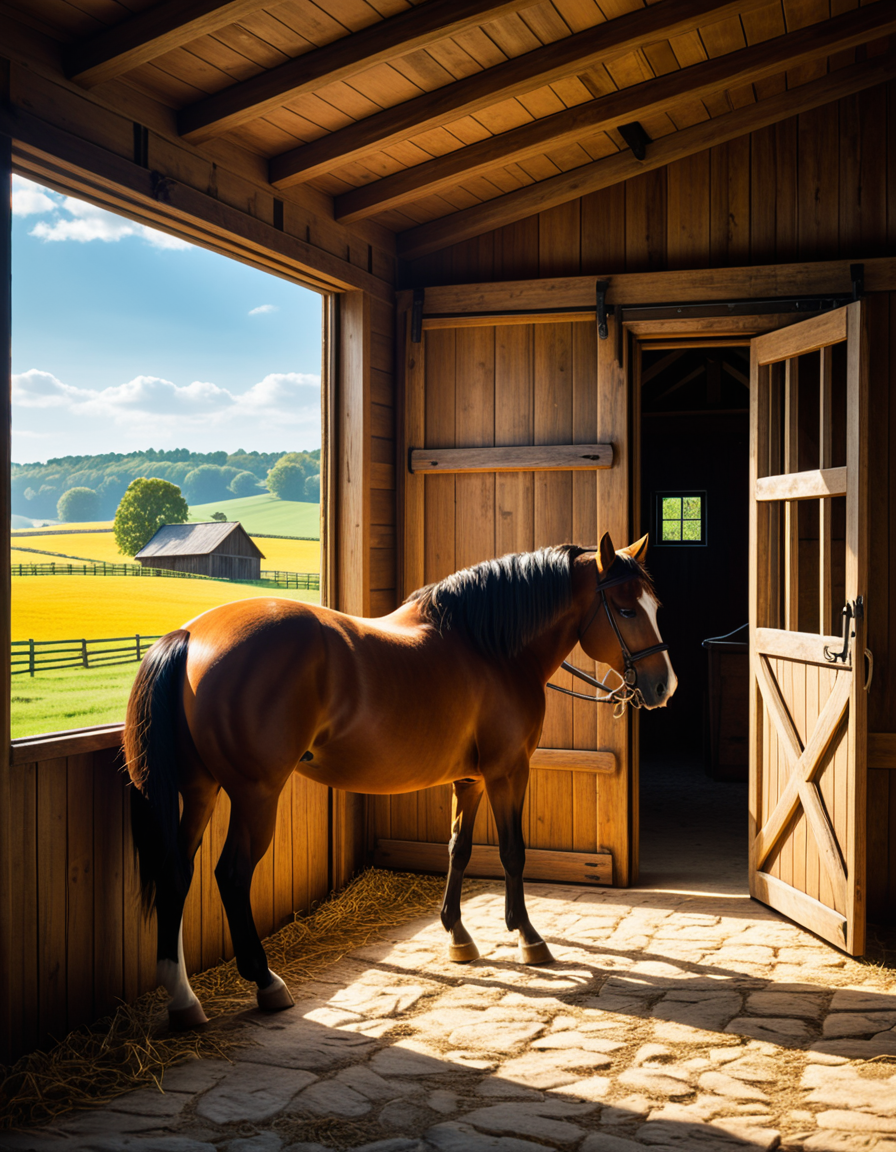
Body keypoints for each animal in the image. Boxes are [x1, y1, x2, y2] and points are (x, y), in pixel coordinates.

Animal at [124, 531, 676, 1029]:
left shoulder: (470, 780)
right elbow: (512, 852)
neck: (490, 647)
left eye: (654, 605)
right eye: (626, 610)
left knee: (178, 872)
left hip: (200, 789)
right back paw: (265, 982)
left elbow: (459, 848)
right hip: (255, 795)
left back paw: (183, 998)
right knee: (232, 875)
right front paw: (527, 938)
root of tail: (191, 636)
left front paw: (457, 935)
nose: (663, 687)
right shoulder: (507, 771)